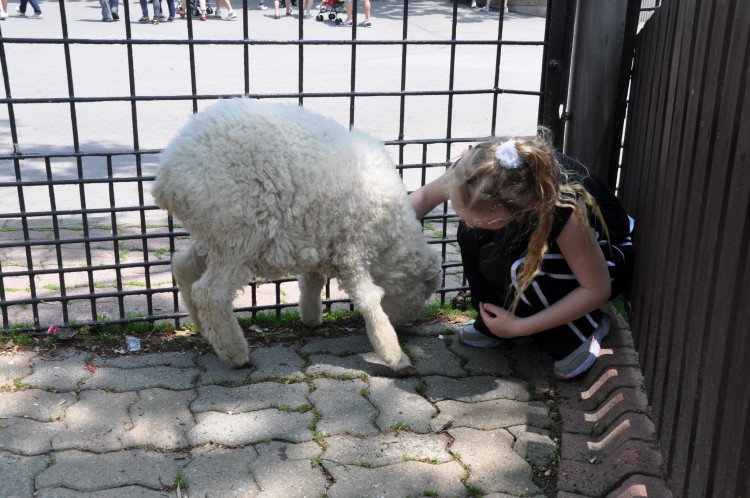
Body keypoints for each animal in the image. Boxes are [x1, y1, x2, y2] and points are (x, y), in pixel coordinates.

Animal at [154, 99, 446, 376]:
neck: (389, 237)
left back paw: (204, 328)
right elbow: (369, 300)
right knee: (210, 294)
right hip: (238, 235)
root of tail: (167, 177)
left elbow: (313, 280)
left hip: (214, 233)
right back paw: (235, 353)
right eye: (423, 294)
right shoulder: (353, 248)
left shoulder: (320, 240)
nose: (402, 326)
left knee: (183, 266)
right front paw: (395, 356)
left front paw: (311, 317)